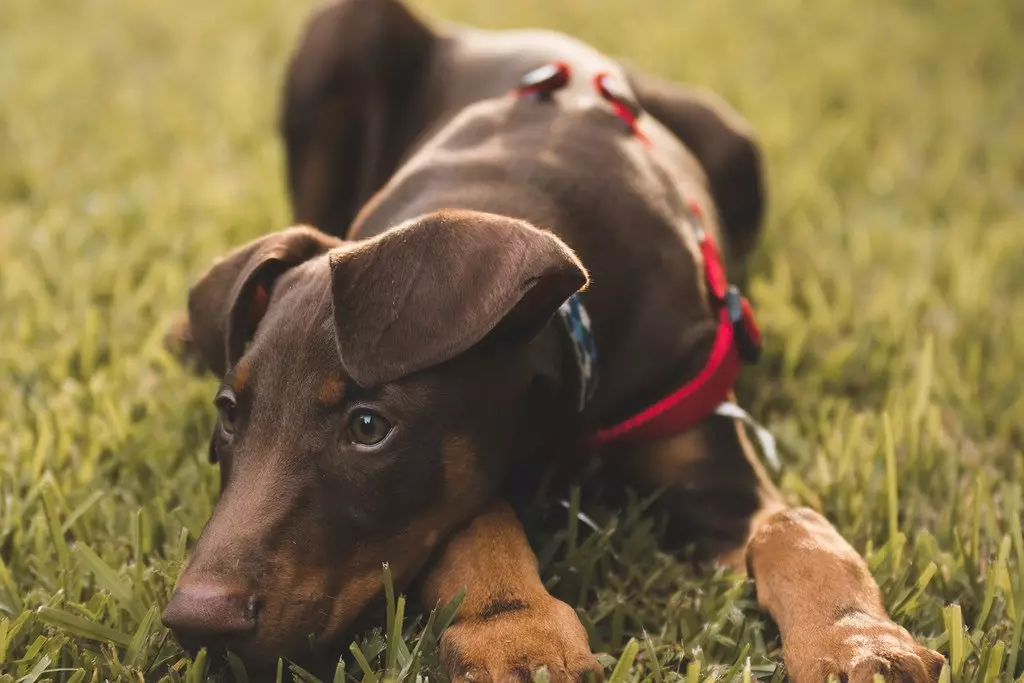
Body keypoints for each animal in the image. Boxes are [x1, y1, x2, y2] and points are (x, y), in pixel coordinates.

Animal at [161, 1, 942, 683]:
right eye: (229, 413)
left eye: (368, 427)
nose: (194, 623)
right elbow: (476, 518)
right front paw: (519, 633)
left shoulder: (710, 458)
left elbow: (800, 530)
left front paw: (858, 642)